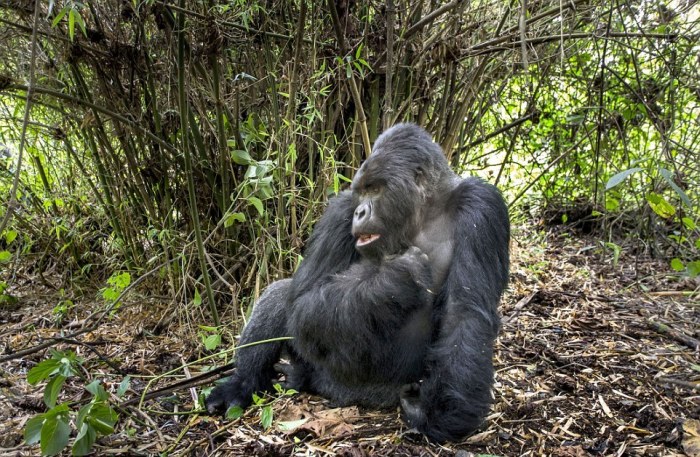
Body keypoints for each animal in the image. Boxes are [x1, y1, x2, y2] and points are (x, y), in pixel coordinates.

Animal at [205, 123, 512, 440]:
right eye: (361, 192)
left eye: (375, 189)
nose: (360, 212)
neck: (423, 213)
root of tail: (345, 395)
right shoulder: (340, 208)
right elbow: (303, 301)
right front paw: (396, 278)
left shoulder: (481, 205)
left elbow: (465, 313)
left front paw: (442, 415)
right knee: (283, 296)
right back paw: (243, 384)